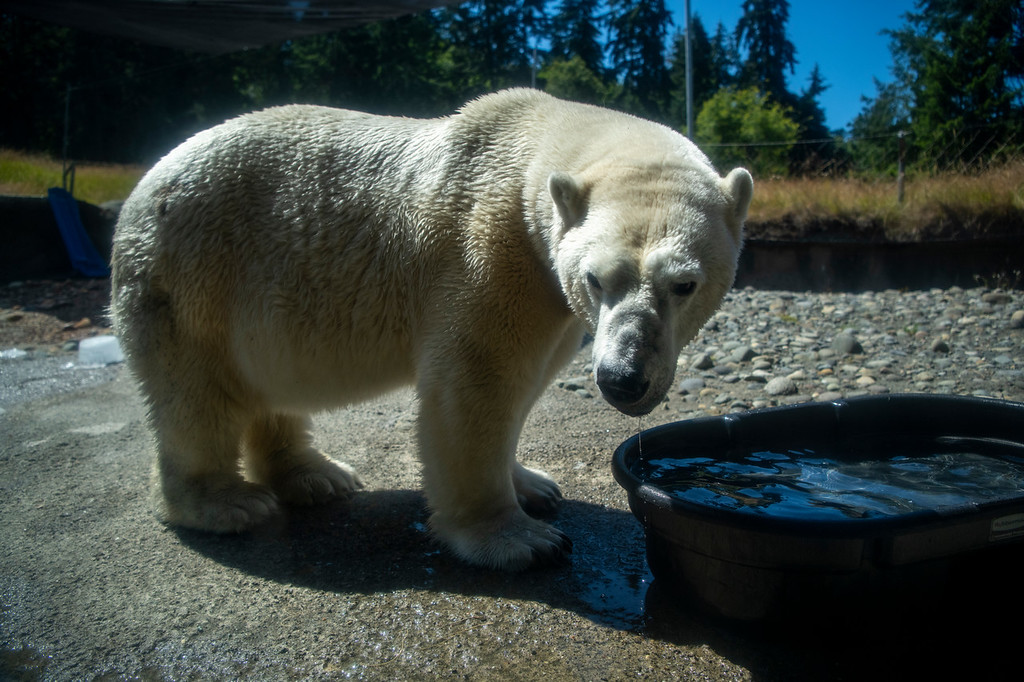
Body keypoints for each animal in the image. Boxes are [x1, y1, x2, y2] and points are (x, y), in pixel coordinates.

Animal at [112, 89, 753, 569]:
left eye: (684, 284)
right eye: (596, 279)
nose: (623, 378)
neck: (532, 148)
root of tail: (142, 188)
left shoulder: (550, 292)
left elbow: (526, 383)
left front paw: (534, 485)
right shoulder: (490, 253)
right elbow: (476, 381)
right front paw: (520, 539)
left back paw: (316, 476)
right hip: (193, 276)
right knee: (197, 392)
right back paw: (226, 503)